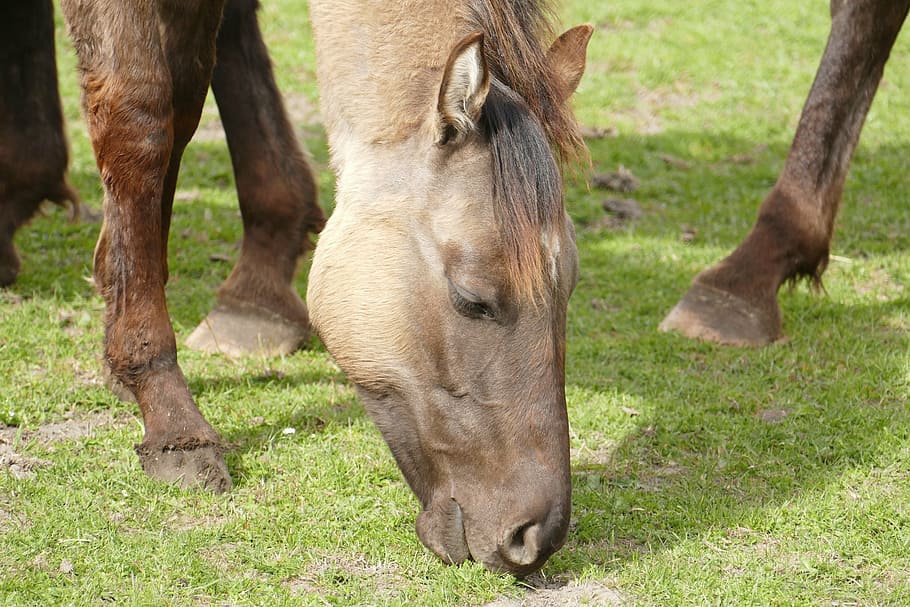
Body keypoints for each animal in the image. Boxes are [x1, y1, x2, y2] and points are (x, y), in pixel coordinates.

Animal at [59, 0, 591, 577]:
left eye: (570, 289)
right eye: (473, 299)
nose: (537, 536)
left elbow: (183, 105)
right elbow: (143, 118)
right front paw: (168, 417)